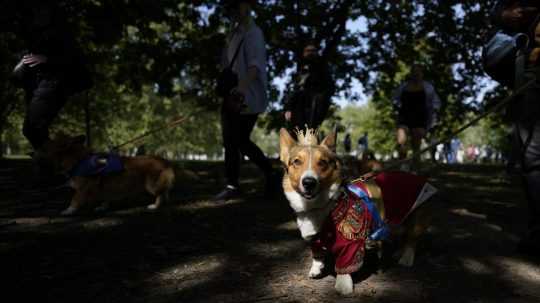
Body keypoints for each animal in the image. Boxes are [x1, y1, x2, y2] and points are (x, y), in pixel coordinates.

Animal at [40, 135, 175, 216]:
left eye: (53, 142)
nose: (42, 143)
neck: (78, 160)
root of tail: (164, 161)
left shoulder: (83, 188)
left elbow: (74, 200)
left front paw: (68, 210)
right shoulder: (104, 188)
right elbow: (105, 197)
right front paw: (102, 207)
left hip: (151, 185)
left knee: (160, 193)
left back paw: (155, 206)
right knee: (165, 190)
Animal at [280, 129, 436, 296]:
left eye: (322, 162)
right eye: (296, 161)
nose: (309, 182)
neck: (322, 206)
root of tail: (418, 177)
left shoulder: (351, 243)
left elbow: (344, 265)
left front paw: (343, 286)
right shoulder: (314, 239)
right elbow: (316, 254)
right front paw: (315, 269)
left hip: (418, 218)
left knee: (412, 239)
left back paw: (405, 259)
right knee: (403, 236)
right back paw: (397, 253)